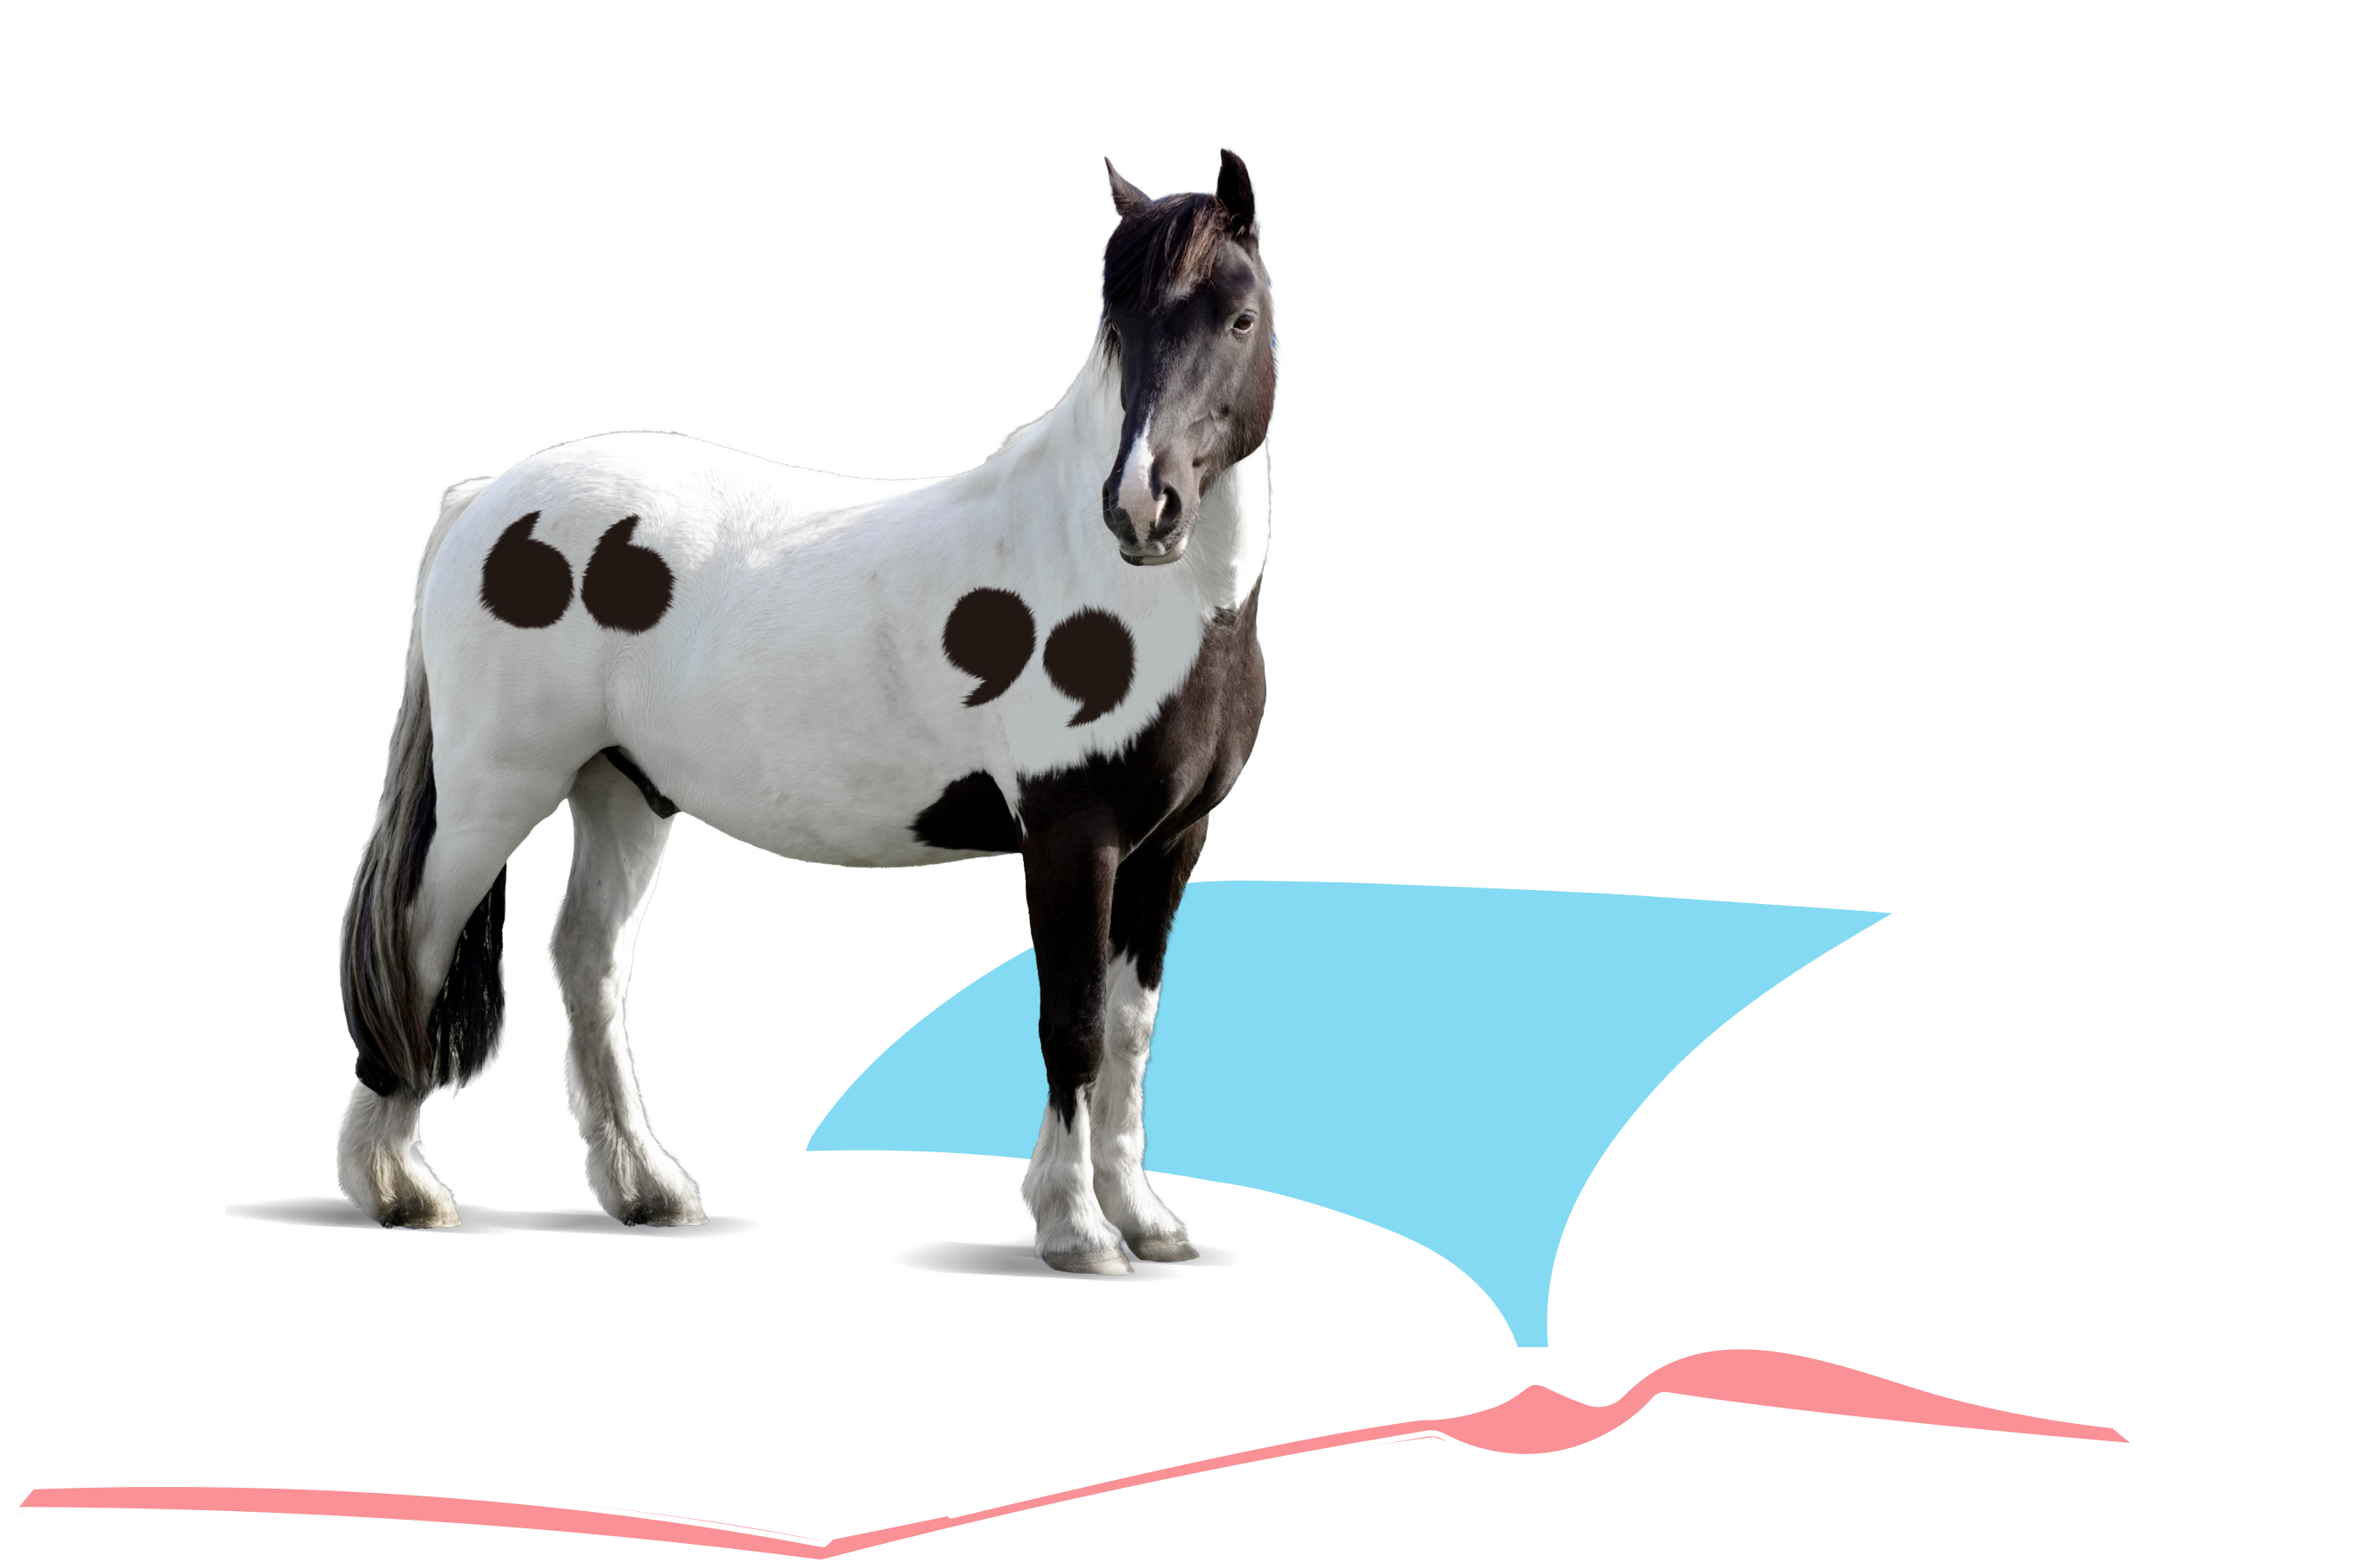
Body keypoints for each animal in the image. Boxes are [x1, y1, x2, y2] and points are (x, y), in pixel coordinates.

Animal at [335, 150, 1274, 1277]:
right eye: (1118, 329)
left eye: (1239, 317)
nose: (1142, 509)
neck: (1140, 600)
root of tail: (487, 499)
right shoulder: (1068, 833)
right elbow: (1075, 1024)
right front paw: (1077, 1231)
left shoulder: (1176, 839)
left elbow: (1132, 1028)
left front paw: (1146, 1221)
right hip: (495, 792)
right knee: (417, 946)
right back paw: (401, 1192)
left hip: (621, 791)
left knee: (589, 961)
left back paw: (648, 1189)